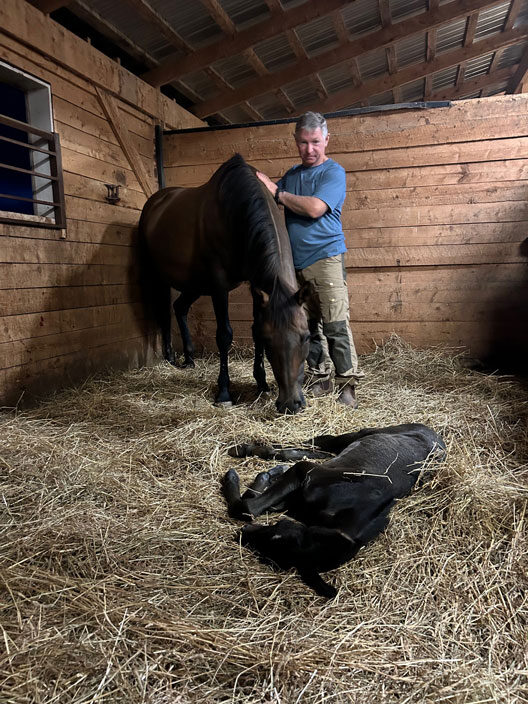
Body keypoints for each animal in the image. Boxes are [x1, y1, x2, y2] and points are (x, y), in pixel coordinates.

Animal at [140, 150, 312, 412]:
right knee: (164, 312)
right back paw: (170, 356)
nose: (291, 404)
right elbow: (224, 335)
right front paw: (224, 392)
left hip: (194, 284)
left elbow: (255, 328)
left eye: (306, 337)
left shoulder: (256, 285)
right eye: (270, 341)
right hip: (160, 279)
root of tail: (155, 202)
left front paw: (262, 383)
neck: (234, 210)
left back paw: (189, 358)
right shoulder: (219, 285)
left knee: (179, 307)